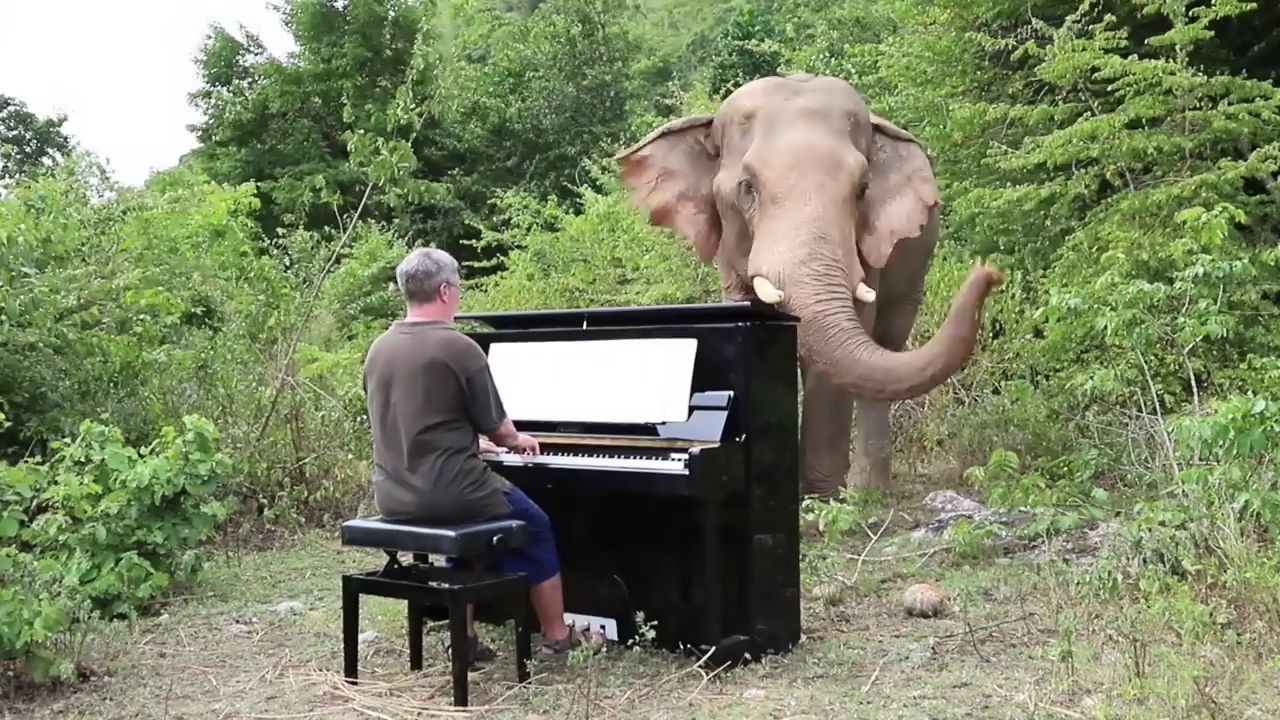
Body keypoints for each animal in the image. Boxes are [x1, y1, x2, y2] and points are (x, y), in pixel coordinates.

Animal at [613, 73, 1002, 497]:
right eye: (747, 188)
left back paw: (869, 493)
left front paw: (820, 499)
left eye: (863, 190)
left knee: (887, 342)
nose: (989, 272)